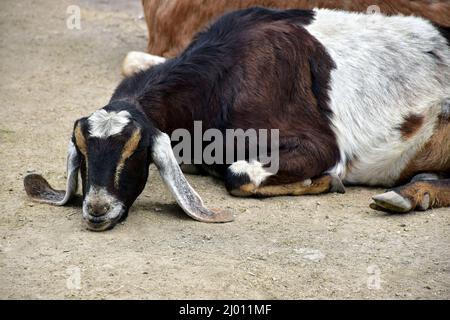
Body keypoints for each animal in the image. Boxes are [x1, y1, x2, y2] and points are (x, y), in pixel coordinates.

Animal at [24, 8, 450, 231]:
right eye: (82, 151)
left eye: (135, 151)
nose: (97, 210)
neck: (223, 77)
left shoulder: (320, 145)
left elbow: (239, 174)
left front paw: (325, 181)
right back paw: (408, 194)